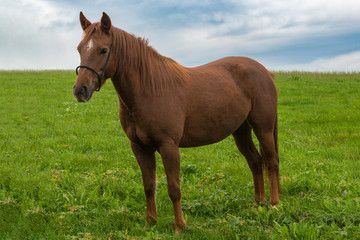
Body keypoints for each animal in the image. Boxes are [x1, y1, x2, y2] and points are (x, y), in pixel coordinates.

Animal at [73, 11, 280, 232]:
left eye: (103, 50)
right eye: (79, 48)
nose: (80, 90)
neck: (150, 90)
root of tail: (264, 71)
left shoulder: (169, 146)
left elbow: (174, 188)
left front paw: (180, 226)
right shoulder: (140, 147)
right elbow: (149, 186)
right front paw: (151, 222)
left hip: (263, 128)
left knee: (271, 161)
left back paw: (274, 204)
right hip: (241, 130)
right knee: (255, 162)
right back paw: (259, 203)